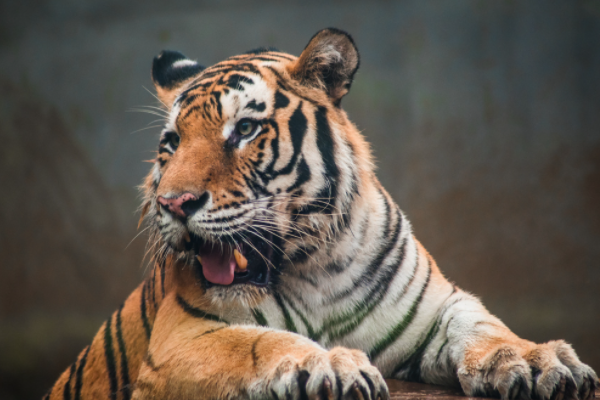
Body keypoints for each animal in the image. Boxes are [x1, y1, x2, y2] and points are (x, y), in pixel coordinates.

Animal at [45, 28, 596, 400]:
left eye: (244, 129)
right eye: (172, 143)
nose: (173, 204)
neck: (316, 266)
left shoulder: (438, 306)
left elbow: (484, 326)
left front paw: (535, 361)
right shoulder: (181, 338)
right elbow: (259, 342)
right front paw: (331, 364)